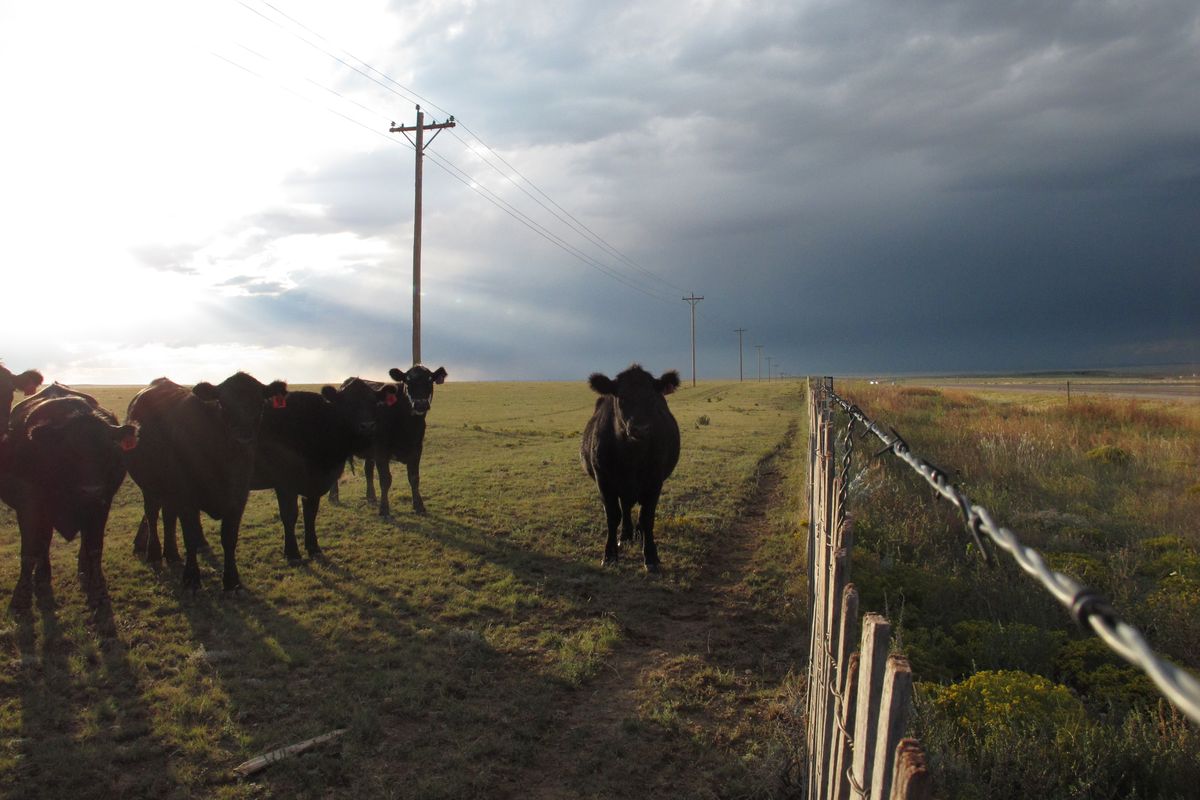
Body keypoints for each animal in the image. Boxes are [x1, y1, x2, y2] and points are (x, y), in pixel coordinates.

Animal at [0, 383, 136, 609]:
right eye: (69, 450)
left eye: (108, 450)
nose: (91, 490)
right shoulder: (29, 505)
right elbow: (29, 551)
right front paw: (21, 597)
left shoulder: (102, 503)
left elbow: (94, 547)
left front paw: (98, 590)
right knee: (43, 542)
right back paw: (43, 575)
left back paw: (83, 569)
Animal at [125, 371, 286, 592]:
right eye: (223, 404)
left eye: (260, 403)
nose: (243, 436)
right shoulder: (186, 498)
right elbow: (190, 537)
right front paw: (191, 578)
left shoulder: (238, 497)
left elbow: (229, 538)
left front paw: (231, 579)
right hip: (150, 485)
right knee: (152, 513)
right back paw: (155, 553)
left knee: (168, 516)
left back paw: (172, 554)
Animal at [252, 379, 393, 561]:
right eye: (347, 403)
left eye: (374, 402)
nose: (367, 426)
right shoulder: (285, 483)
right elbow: (289, 515)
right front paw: (293, 554)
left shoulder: (314, 483)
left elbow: (310, 513)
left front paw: (313, 548)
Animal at [331, 364, 448, 520]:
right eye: (407, 381)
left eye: (430, 380)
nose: (420, 404)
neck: (407, 424)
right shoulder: (381, 451)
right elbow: (385, 480)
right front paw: (384, 510)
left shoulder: (417, 449)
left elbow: (414, 478)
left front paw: (419, 506)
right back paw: (333, 496)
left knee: (368, 470)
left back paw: (371, 498)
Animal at [583, 367, 681, 573]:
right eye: (621, 397)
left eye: (652, 397)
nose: (640, 429)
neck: (631, 457)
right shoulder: (604, 480)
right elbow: (613, 516)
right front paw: (610, 555)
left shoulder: (655, 482)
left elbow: (647, 517)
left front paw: (651, 556)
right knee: (625, 507)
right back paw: (625, 535)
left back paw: (637, 534)